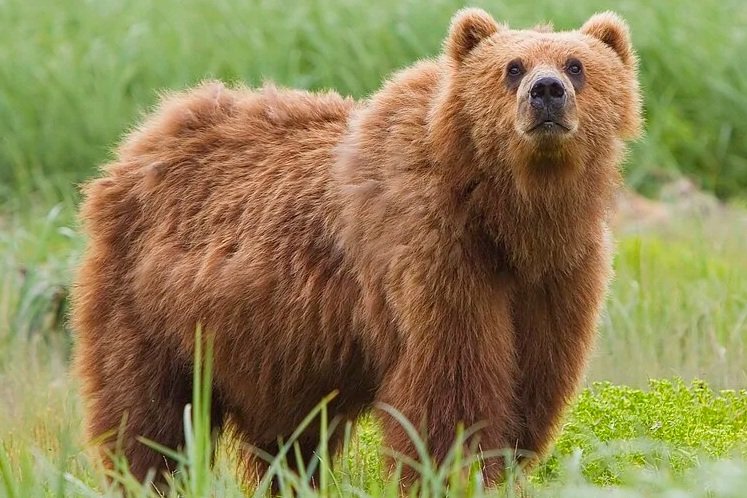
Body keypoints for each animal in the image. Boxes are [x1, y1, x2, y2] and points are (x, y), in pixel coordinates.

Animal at [71, 8, 641, 489]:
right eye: (512, 67)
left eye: (576, 65)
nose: (547, 91)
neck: (509, 218)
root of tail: (142, 138)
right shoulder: (434, 254)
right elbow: (451, 390)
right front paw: (455, 472)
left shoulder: (557, 277)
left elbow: (531, 384)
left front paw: (504, 468)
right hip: (149, 305)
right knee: (148, 415)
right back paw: (147, 476)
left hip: (273, 348)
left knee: (288, 440)